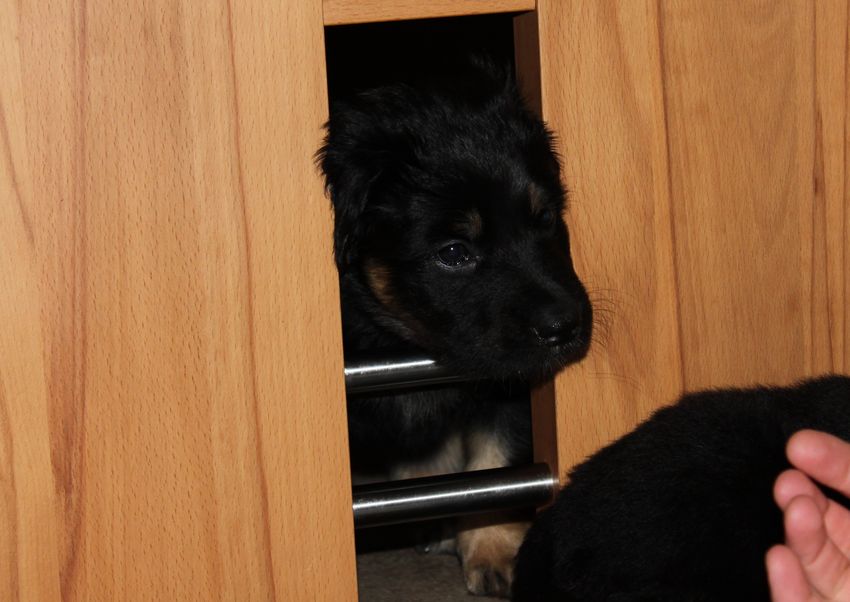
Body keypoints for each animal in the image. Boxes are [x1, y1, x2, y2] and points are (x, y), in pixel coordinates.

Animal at [318, 62, 593, 597]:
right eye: (453, 253)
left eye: (546, 218)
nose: (563, 327)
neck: (398, 334)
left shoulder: (511, 388)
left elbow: (495, 466)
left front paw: (492, 546)